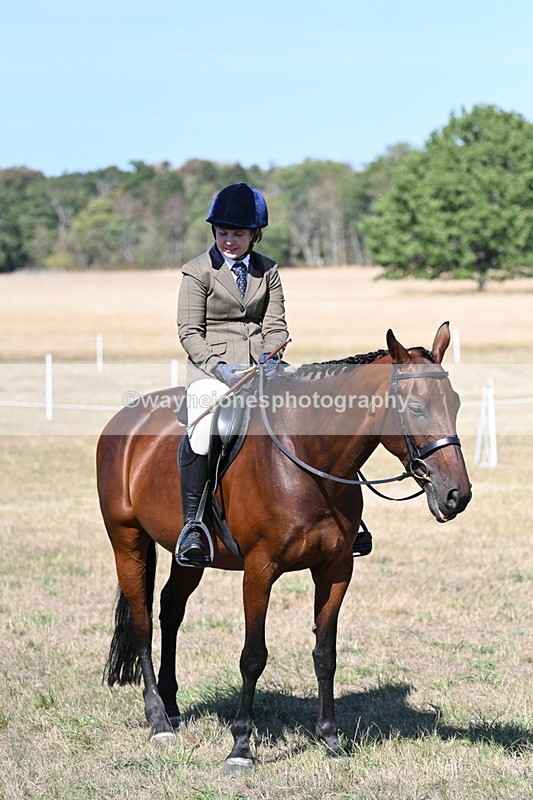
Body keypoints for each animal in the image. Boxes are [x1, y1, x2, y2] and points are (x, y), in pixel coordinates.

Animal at [97, 322, 471, 772]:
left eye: (455, 402)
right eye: (415, 407)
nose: (457, 496)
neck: (308, 459)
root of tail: (127, 417)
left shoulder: (335, 570)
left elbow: (325, 653)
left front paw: (330, 739)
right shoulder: (260, 571)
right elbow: (253, 656)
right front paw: (240, 747)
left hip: (187, 557)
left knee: (171, 609)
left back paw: (171, 708)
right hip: (127, 540)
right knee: (142, 621)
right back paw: (157, 721)